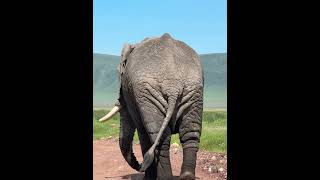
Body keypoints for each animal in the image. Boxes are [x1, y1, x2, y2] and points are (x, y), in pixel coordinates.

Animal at [99, 33, 205, 179]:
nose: (139, 166)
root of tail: (173, 85)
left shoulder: (134, 96)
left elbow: (142, 133)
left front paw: (147, 177)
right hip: (193, 91)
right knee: (190, 134)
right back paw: (187, 177)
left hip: (150, 94)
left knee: (159, 138)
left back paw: (164, 178)